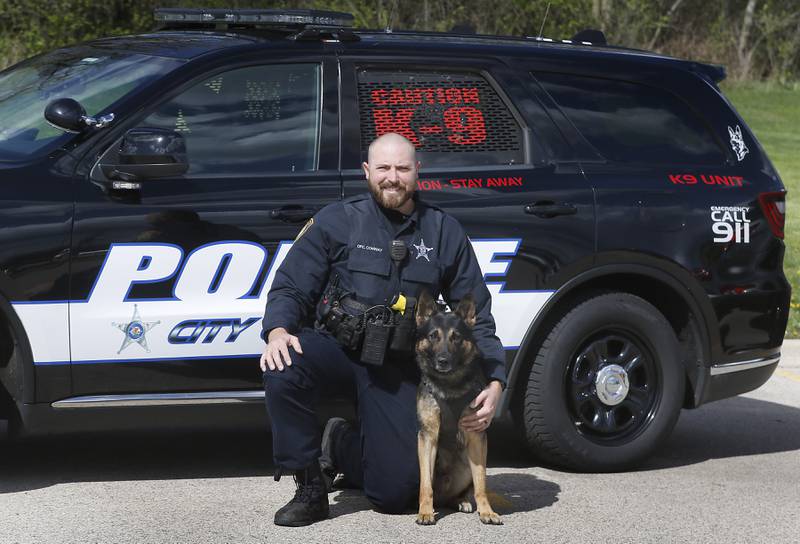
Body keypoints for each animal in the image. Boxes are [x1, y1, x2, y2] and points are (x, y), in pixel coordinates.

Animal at [412, 294, 500, 528]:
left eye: (456, 337)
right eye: (433, 336)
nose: (443, 361)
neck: (448, 386)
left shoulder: (477, 437)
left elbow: (481, 483)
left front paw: (486, 511)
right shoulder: (428, 437)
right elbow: (425, 485)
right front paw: (425, 512)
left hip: (466, 468)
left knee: (461, 491)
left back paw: (461, 501)